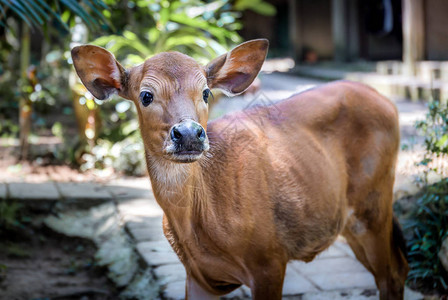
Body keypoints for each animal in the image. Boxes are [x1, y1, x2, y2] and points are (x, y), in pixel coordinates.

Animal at [71, 39, 410, 298]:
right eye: (145, 95)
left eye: (206, 92)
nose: (189, 134)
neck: (201, 223)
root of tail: (387, 102)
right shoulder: (198, 276)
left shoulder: (270, 261)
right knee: (400, 267)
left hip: (374, 206)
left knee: (391, 275)